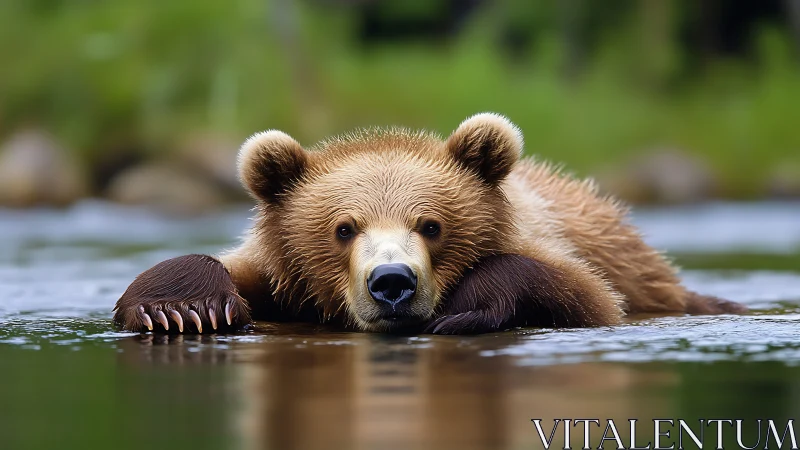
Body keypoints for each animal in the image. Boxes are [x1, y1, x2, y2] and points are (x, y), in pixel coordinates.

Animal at [113, 113, 747, 335]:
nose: (392, 281)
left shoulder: (558, 249)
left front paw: (464, 308)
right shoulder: (285, 279)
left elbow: (586, 295)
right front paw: (183, 308)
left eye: (432, 225)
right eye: (344, 228)